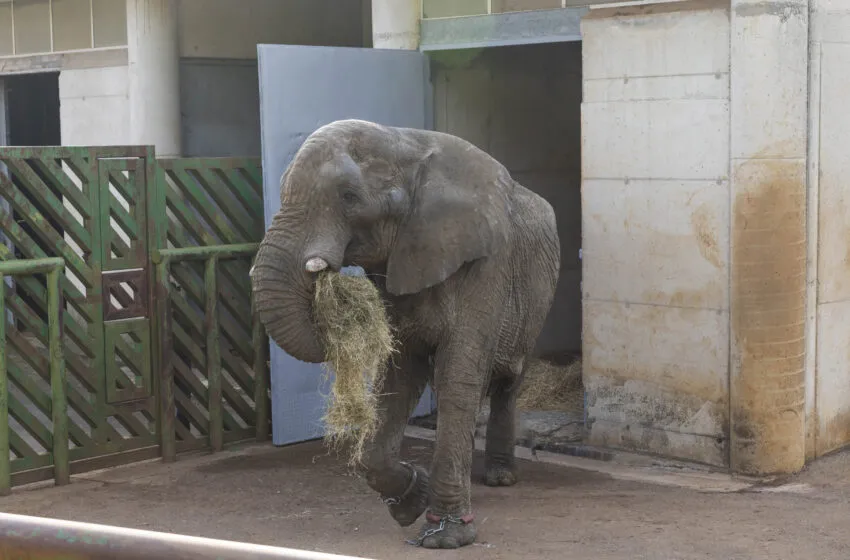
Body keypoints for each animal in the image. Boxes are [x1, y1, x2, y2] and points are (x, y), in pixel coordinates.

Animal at [250, 119, 560, 549]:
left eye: (349, 197)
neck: (404, 142)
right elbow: (400, 373)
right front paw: (414, 501)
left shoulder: (487, 264)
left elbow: (457, 375)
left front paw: (446, 537)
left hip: (537, 301)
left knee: (507, 382)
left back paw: (500, 478)